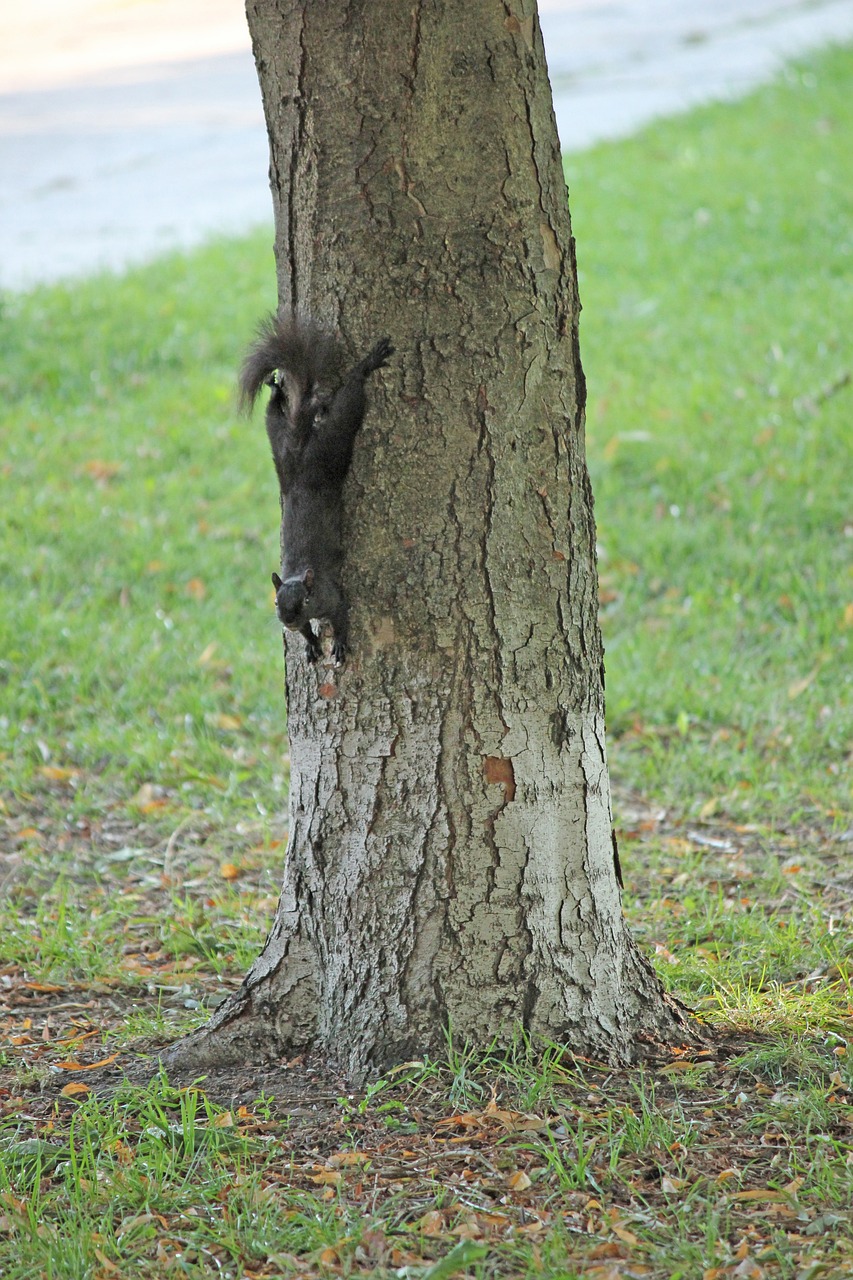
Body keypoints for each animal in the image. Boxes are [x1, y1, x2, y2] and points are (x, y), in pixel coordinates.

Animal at [240, 314, 394, 665]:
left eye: (305, 602)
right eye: (275, 602)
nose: (287, 620)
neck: (301, 577)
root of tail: (298, 448)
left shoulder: (332, 597)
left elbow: (341, 617)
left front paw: (338, 644)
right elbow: (307, 632)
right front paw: (310, 643)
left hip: (332, 443)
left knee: (349, 401)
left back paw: (367, 365)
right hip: (277, 442)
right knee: (273, 413)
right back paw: (276, 390)